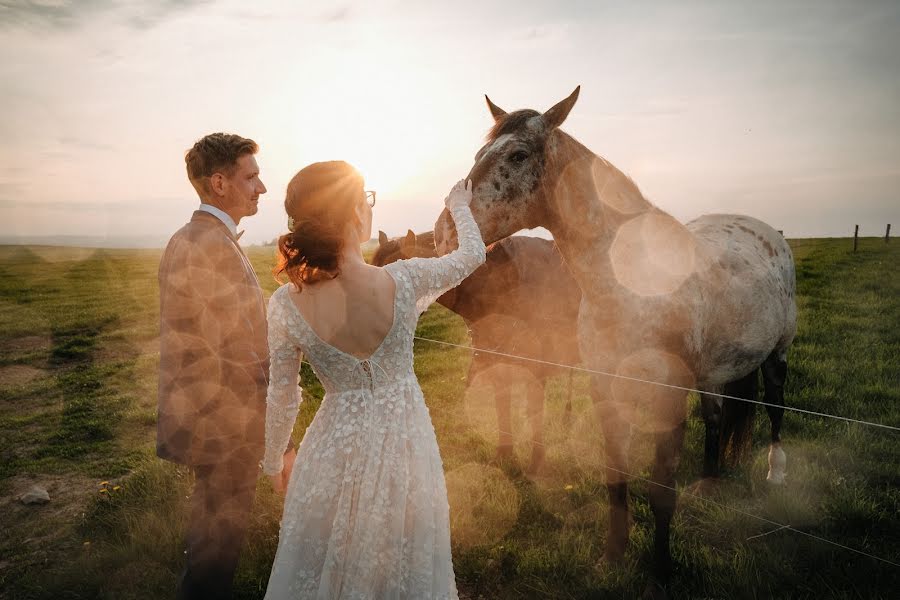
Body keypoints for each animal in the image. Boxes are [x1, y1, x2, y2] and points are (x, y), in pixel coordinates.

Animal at [370, 227, 580, 472]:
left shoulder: (535, 366)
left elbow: (534, 410)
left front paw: (536, 462)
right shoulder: (495, 362)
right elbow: (502, 406)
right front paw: (504, 452)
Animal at [432, 86, 800, 596]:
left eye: (518, 154)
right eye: (476, 156)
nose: (443, 232)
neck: (629, 286)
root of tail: (769, 233)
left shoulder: (667, 395)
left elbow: (661, 487)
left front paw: (661, 570)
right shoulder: (604, 387)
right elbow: (615, 475)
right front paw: (613, 556)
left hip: (776, 356)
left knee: (776, 407)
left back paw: (776, 472)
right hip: (713, 373)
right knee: (716, 417)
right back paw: (707, 483)